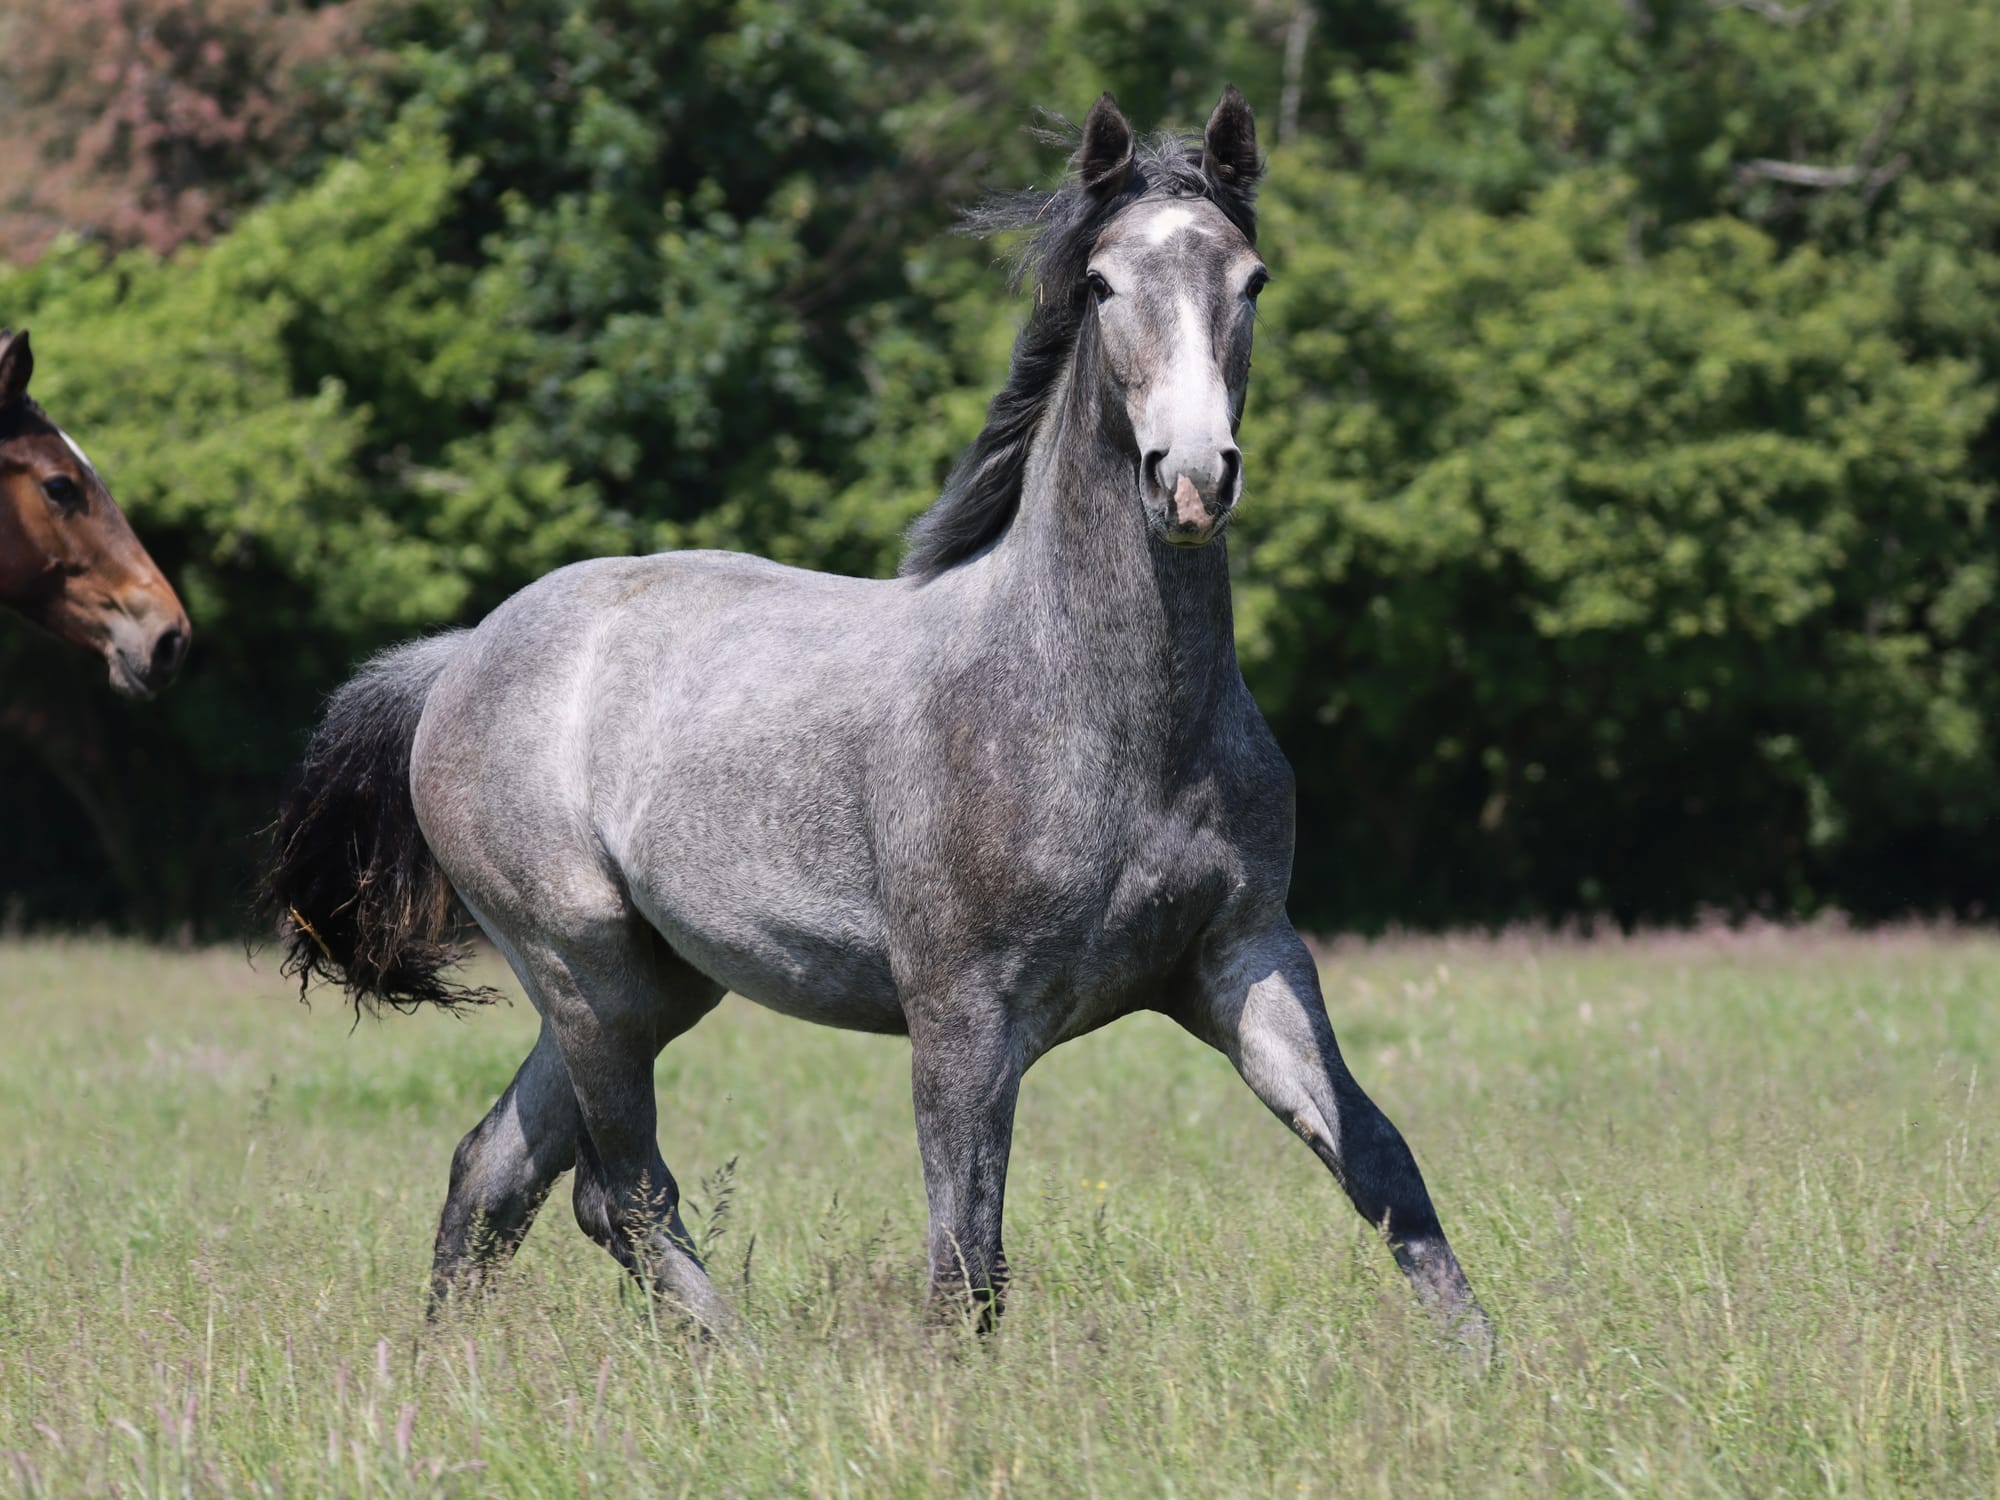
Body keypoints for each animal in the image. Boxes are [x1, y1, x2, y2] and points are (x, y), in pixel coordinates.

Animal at [266, 88, 1488, 1344]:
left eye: (1249, 280)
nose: (1190, 479)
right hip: (582, 968)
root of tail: (461, 656)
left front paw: (1489, 1366)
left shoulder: (1243, 958)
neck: (1100, 719)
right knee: (622, 1193)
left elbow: (1381, 1165)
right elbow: (966, 1263)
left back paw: (444, 1365)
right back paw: (743, 1368)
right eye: (1102, 285)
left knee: (497, 1168)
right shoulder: (962, 1013)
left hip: (654, 983)